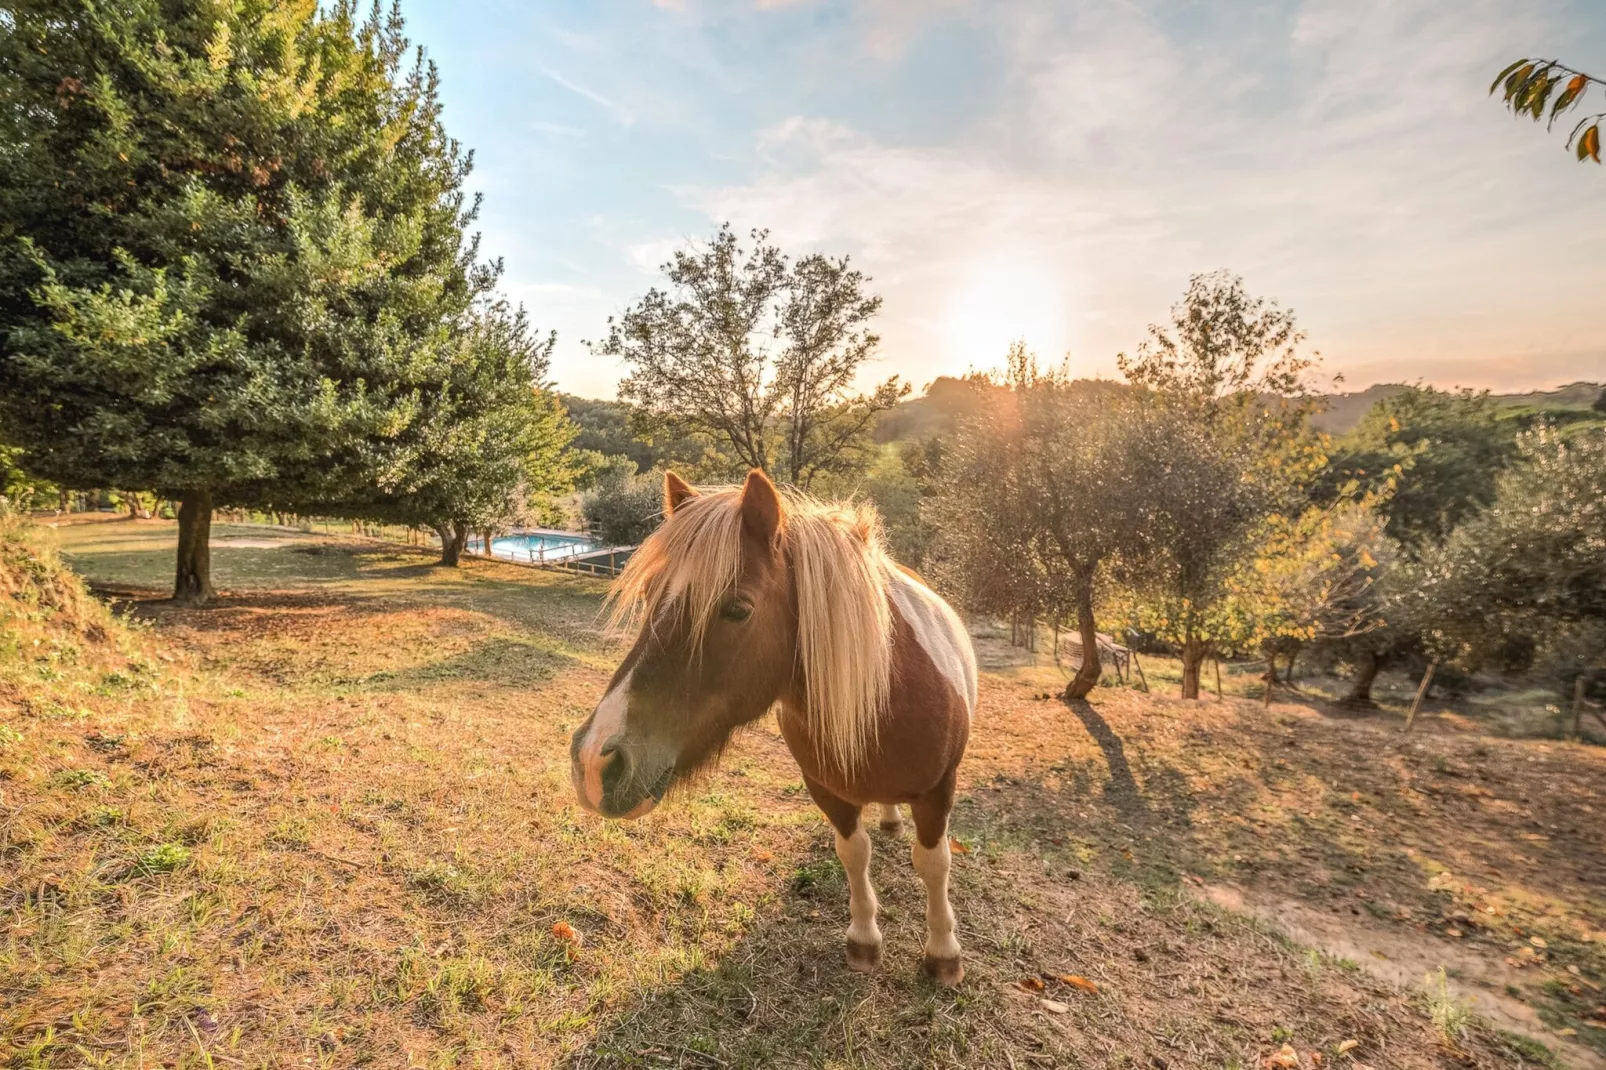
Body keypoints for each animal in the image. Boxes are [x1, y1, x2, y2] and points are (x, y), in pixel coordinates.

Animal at [571, 465, 970, 983]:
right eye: (647, 596)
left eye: (738, 608)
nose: (593, 762)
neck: (886, 699)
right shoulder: (827, 791)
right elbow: (853, 853)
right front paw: (864, 938)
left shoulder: (939, 791)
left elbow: (934, 864)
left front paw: (943, 952)